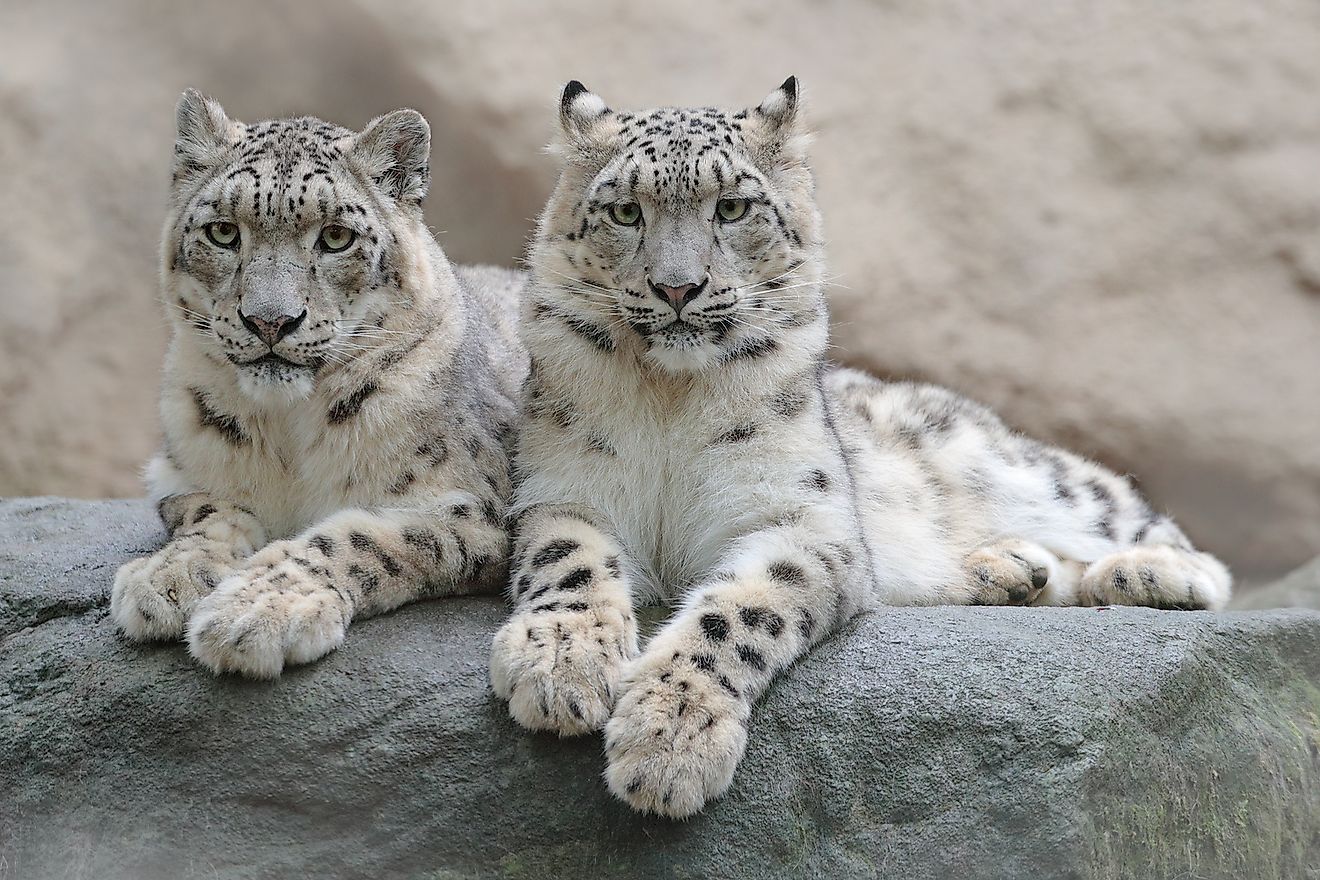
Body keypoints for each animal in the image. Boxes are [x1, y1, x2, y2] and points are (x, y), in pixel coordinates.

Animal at [112, 89, 525, 680]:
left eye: (335, 237)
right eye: (223, 231)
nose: (270, 321)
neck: (287, 434)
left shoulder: (476, 508)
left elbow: (360, 538)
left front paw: (258, 611)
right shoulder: (179, 472)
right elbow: (208, 511)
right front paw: (167, 578)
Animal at [488, 77, 1235, 817]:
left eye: (731, 206)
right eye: (624, 211)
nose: (678, 287)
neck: (670, 398)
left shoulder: (803, 519)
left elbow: (739, 613)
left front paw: (669, 740)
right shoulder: (563, 491)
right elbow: (568, 563)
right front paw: (559, 666)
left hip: (1014, 470)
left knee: (1147, 525)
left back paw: (1145, 573)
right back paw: (1007, 569)